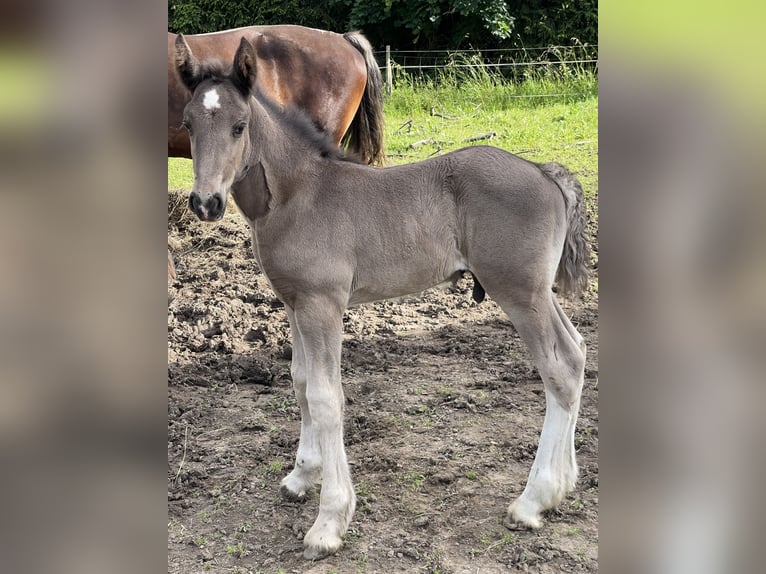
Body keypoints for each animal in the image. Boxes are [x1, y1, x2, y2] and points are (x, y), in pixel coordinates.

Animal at [174, 35, 591, 560]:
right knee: (577, 352)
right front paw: (301, 476)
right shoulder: (293, 302)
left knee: (559, 370)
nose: (205, 204)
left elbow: (326, 396)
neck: (299, 195)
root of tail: (545, 171)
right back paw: (564, 485)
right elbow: (299, 381)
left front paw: (329, 522)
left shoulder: (322, 304)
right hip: (538, 292)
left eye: (239, 126)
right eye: (188, 123)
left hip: (520, 293)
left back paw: (533, 500)